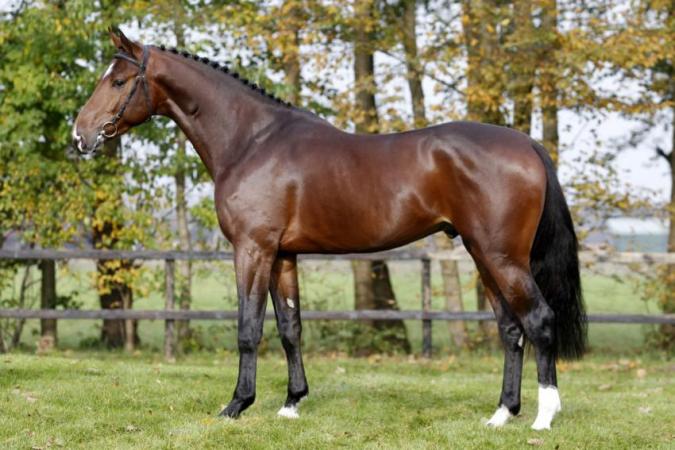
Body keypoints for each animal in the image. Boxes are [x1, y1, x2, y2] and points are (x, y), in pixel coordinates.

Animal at [73, 28, 586, 430]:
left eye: (118, 80)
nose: (81, 135)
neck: (251, 141)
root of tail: (528, 145)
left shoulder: (252, 249)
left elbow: (248, 327)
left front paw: (237, 405)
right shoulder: (282, 254)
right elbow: (290, 327)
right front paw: (291, 403)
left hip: (502, 257)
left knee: (539, 320)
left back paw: (543, 418)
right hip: (483, 254)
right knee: (511, 328)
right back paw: (501, 414)